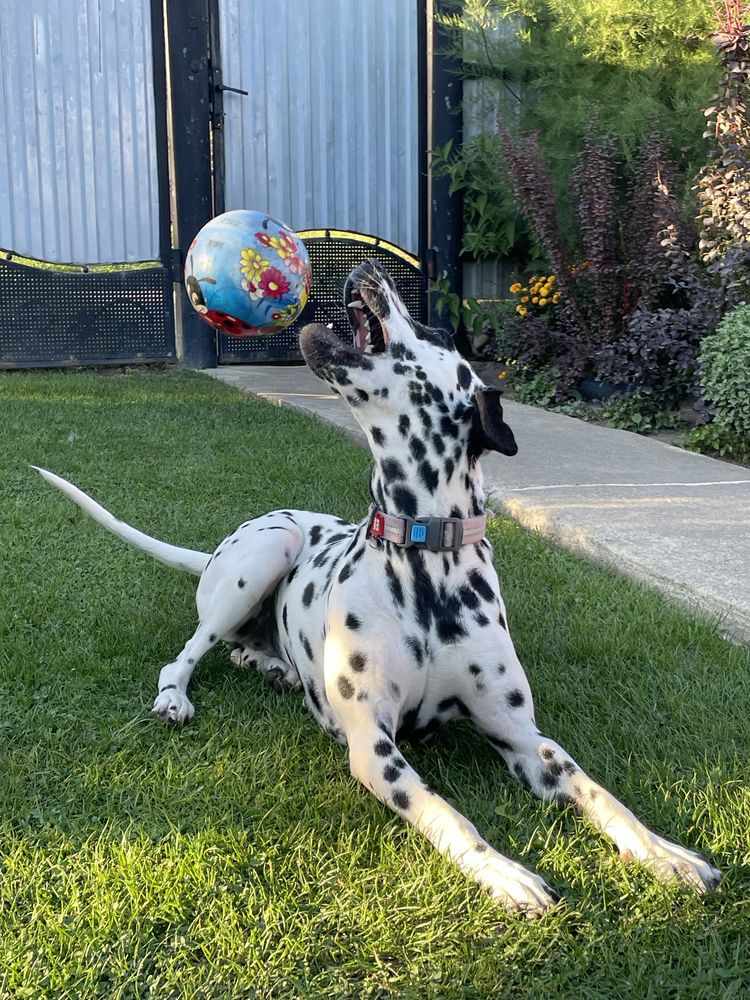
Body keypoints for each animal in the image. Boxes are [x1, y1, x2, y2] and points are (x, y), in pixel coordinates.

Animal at [35, 262, 724, 916]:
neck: (426, 562)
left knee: (238, 650)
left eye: (437, 332)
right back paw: (178, 696)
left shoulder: (525, 736)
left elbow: (601, 793)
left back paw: (274, 667)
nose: (372, 267)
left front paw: (668, 853)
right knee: (185, 654)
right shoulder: (373, 744)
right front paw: (508, 874)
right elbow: (449, 814)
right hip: (263, 554)